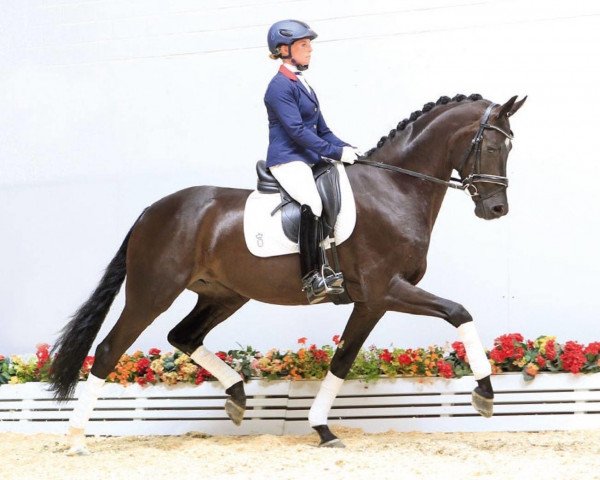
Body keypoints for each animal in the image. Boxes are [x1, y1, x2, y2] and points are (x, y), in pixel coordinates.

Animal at [50, 93, 524, 450]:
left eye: (510, 148)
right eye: (492, 147)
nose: (497, 209)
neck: (394, 188)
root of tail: (152, 210)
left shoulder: (371, 302)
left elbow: (342, 360)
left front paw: (322, 429)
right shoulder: (386, 289)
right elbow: (459, 312)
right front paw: (484, 393)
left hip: (224, 294)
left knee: (182, 336)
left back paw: (237, 396)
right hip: (152, 292)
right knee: (109, 350)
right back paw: (76, 439)